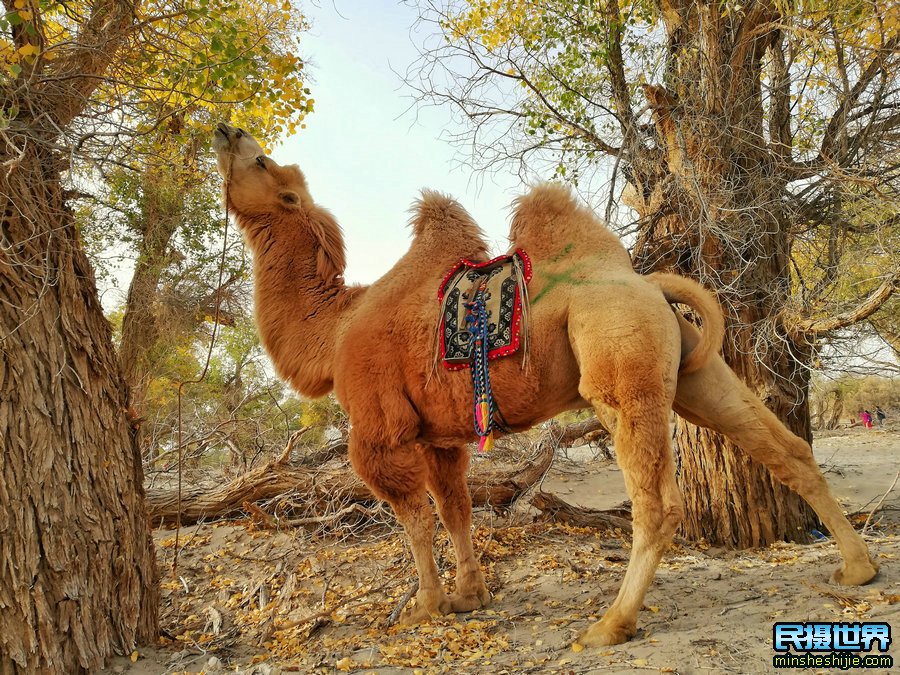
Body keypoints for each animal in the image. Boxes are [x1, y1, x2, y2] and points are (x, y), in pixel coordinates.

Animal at [209, 123, 872, 648]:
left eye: (262, 162)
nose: (225, 129)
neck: (335, 328)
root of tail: (649, 283)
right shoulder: (440, 436)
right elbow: (455, 508)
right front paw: (470, 595)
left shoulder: (380, 429)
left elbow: (413, 517)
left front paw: (425, 607)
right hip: (690, 368)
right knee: (785, 449)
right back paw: (858, 569)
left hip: (616, 356)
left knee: (656, 503)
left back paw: (609, 625)